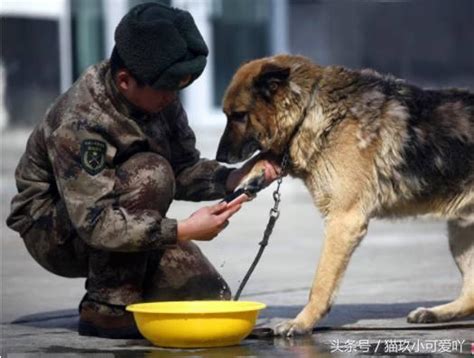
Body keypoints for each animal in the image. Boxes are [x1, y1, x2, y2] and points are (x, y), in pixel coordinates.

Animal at [216, 55, 474, 336]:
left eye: (239, 116)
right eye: (227, 115)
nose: (219, 158)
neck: (310, 110)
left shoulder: (343, 221)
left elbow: (321, 282)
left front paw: (302, 322)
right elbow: (262, 156)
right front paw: (246, 175)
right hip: (461, 232)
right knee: (470, 294)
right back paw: (434, 313)